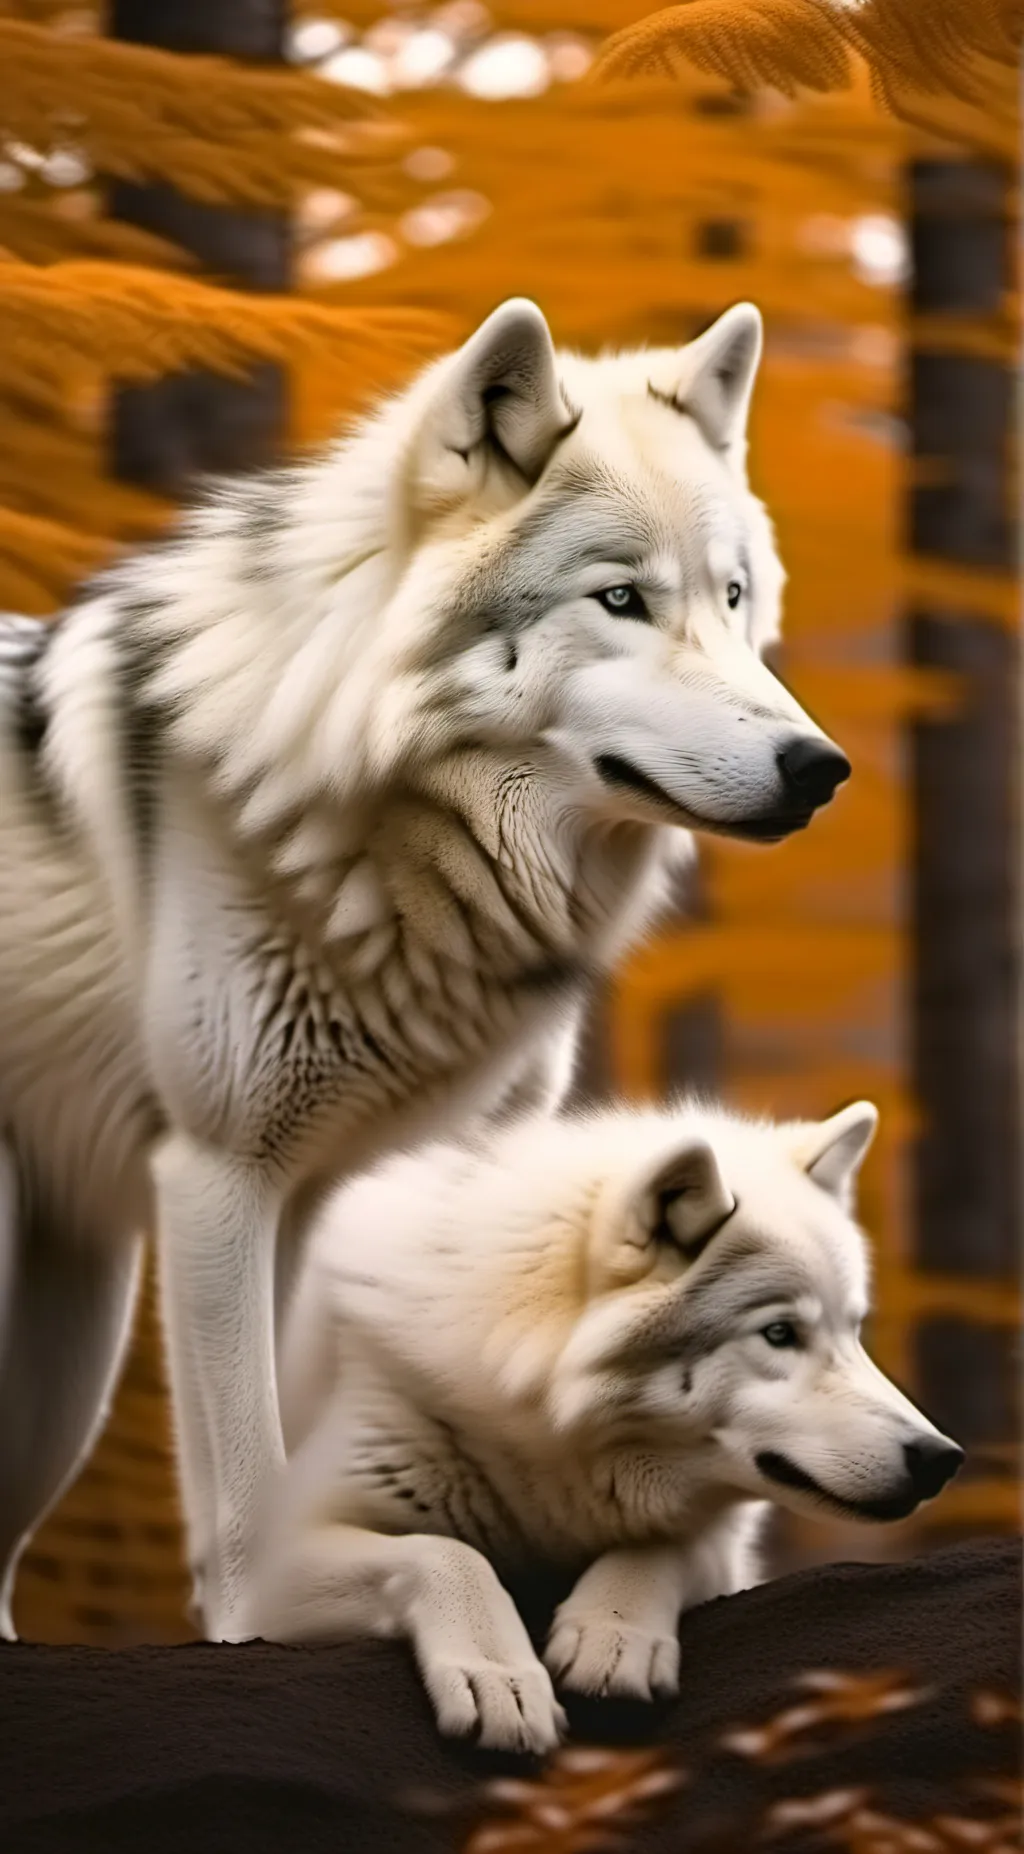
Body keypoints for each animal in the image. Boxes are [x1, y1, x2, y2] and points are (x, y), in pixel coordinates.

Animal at [253, 1099, 963, 1753]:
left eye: (854, 1330)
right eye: (780, 1333)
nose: (942, 1458)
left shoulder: (723, 1549)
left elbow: (661, 1543)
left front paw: (613, 1635)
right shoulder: (272, 1570)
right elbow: (444, 1553)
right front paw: (497, 1674)